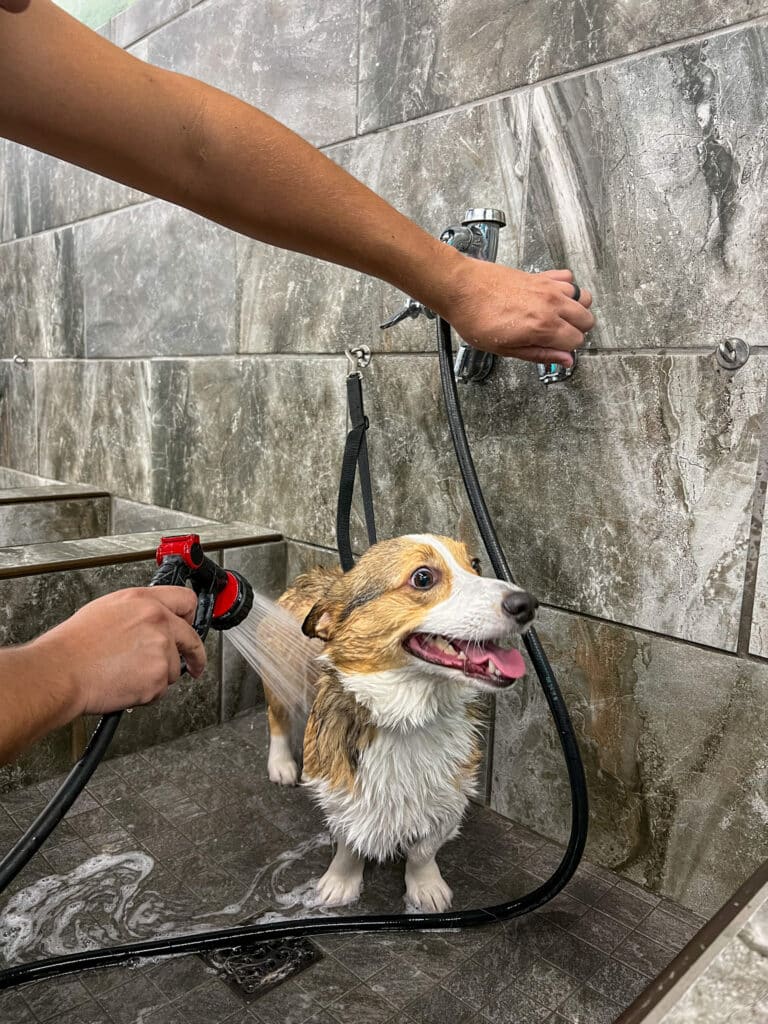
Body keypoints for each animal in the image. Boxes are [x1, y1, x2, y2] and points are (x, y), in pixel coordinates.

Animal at [262, 536, 536, 913]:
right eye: (423, 578)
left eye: (476, 564)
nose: (527, 604)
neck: (407, 716)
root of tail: (313, 576)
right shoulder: (339, 785)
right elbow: (348, 842)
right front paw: (340, 884)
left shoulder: (450, 792)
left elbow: (423, 851)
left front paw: (427, 890)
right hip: (279, 675)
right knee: (276, 717)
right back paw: (282, 765)